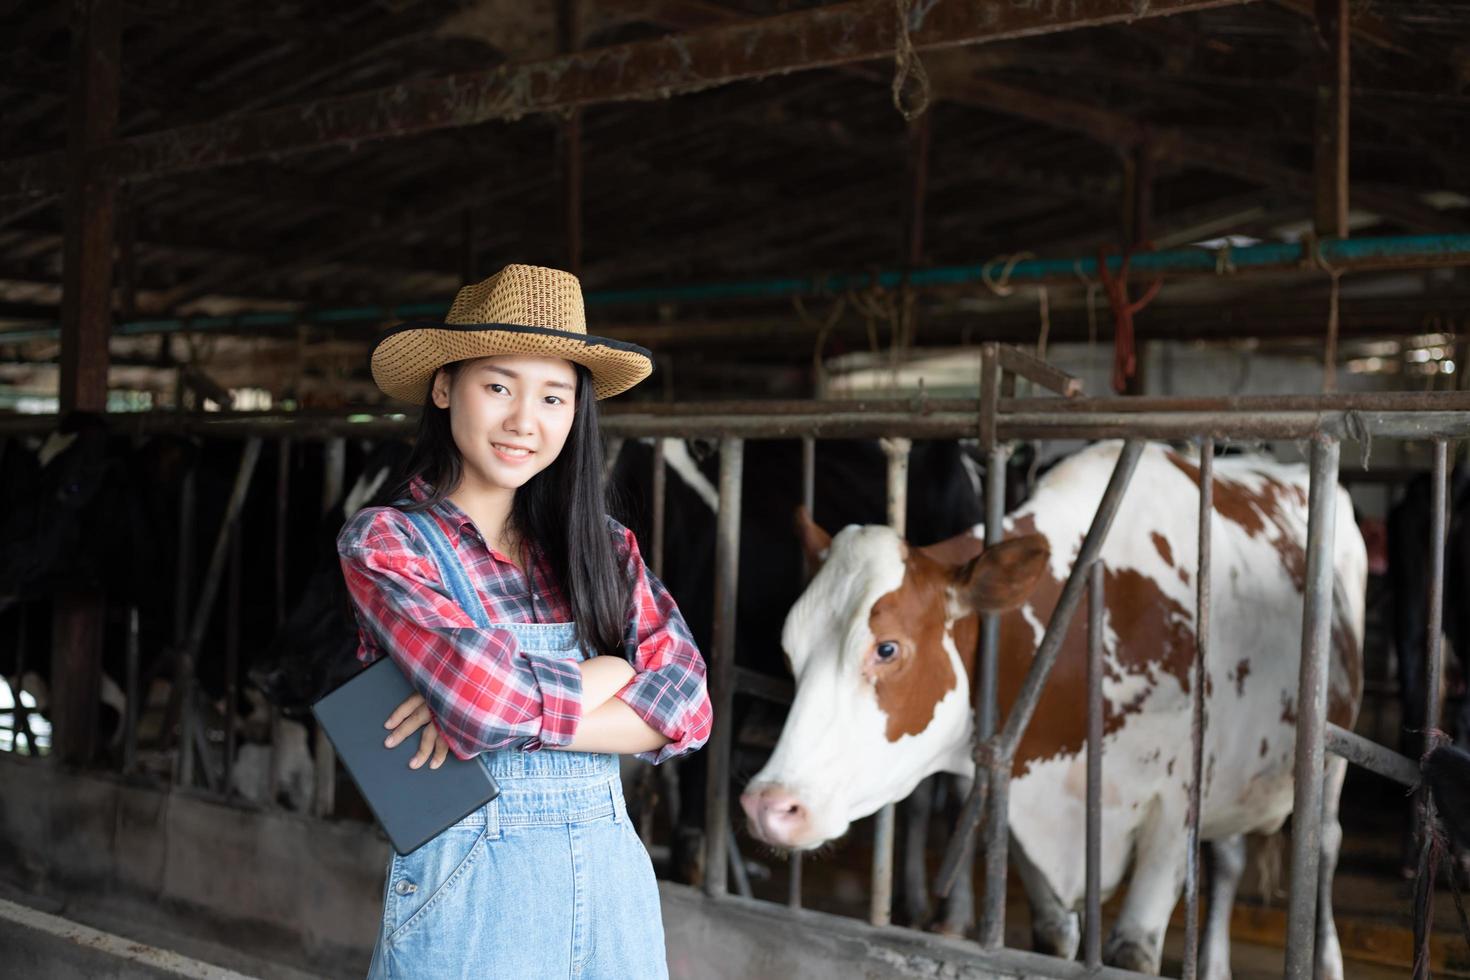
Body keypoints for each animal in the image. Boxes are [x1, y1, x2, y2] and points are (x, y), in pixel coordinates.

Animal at [740, 440, 1370, 975]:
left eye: (887, 647)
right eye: (788, 647)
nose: (769, 805)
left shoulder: (1176, 809)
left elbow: (1132, 950)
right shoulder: (1026, 803)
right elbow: (1054, 937)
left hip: (1331, 758)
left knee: (1326, 843)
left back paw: (1327, 960)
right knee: (1232, 856)